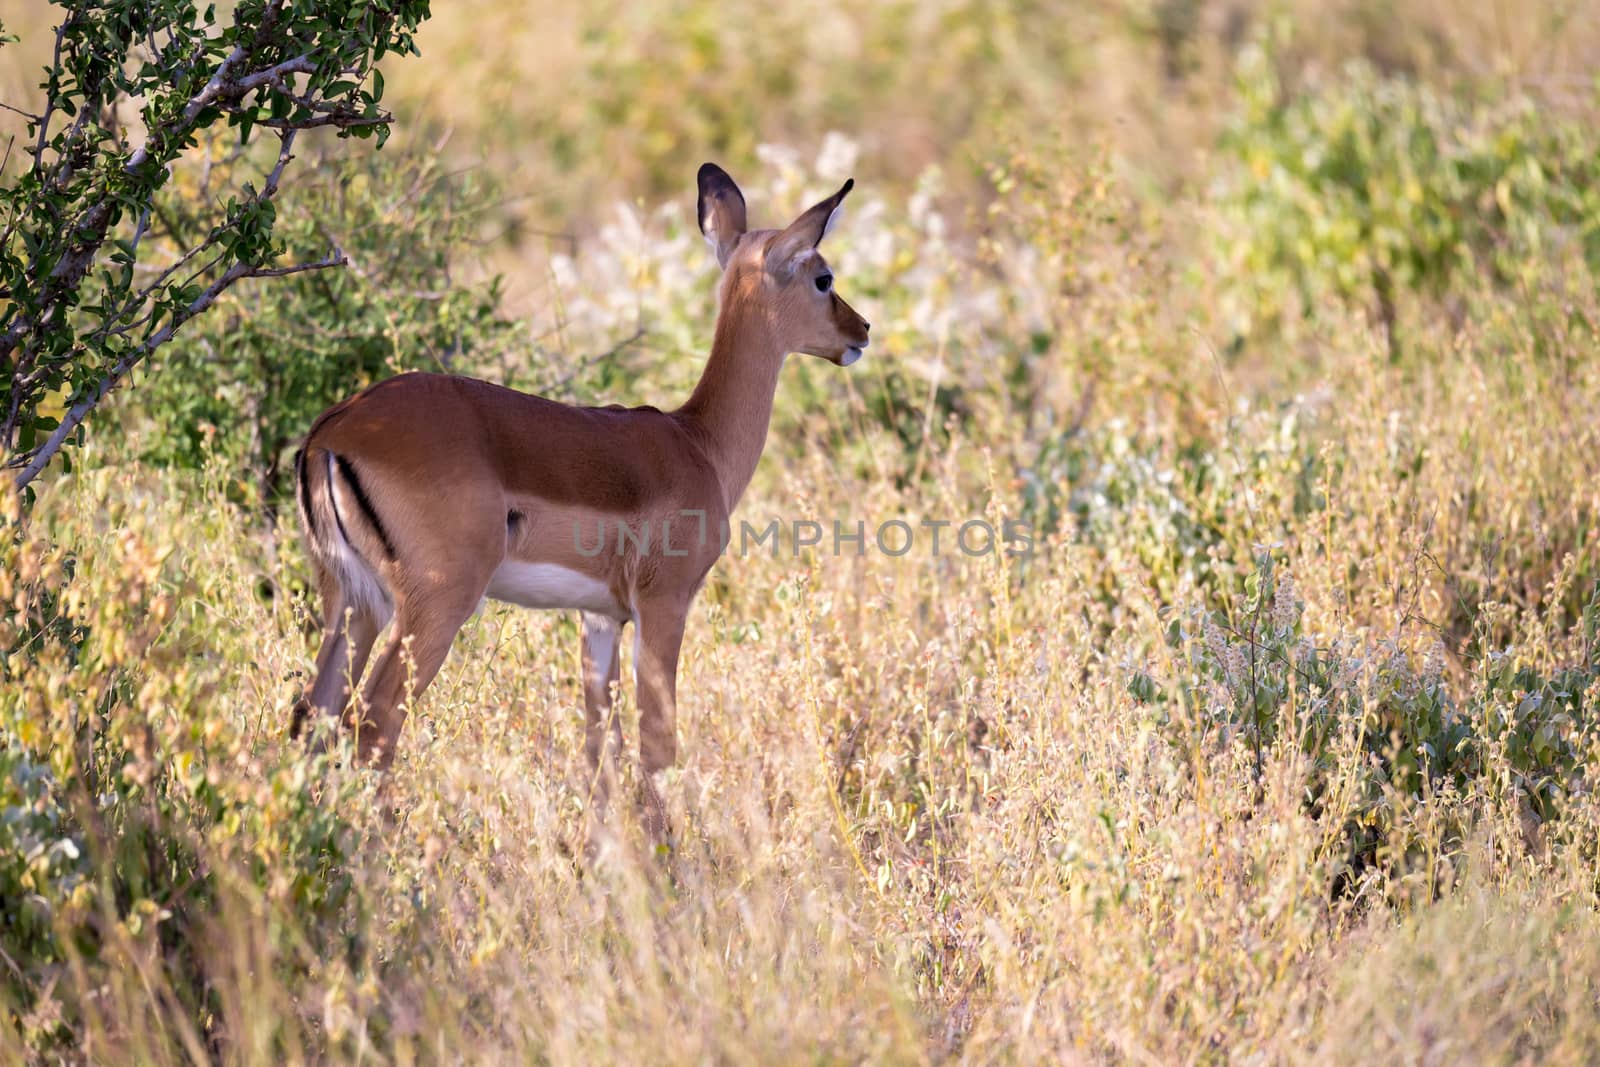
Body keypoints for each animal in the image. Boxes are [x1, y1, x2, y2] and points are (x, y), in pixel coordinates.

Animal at [281, 164, 870, 831]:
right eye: (822, 277)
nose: (861, 331)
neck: (697, 442)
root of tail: (335, 430)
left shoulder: (600, 618)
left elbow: (600, 751)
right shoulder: (663, 605)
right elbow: (657, 748)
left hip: (355, 604)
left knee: (311, 718)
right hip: (434, 606)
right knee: (374, 724)